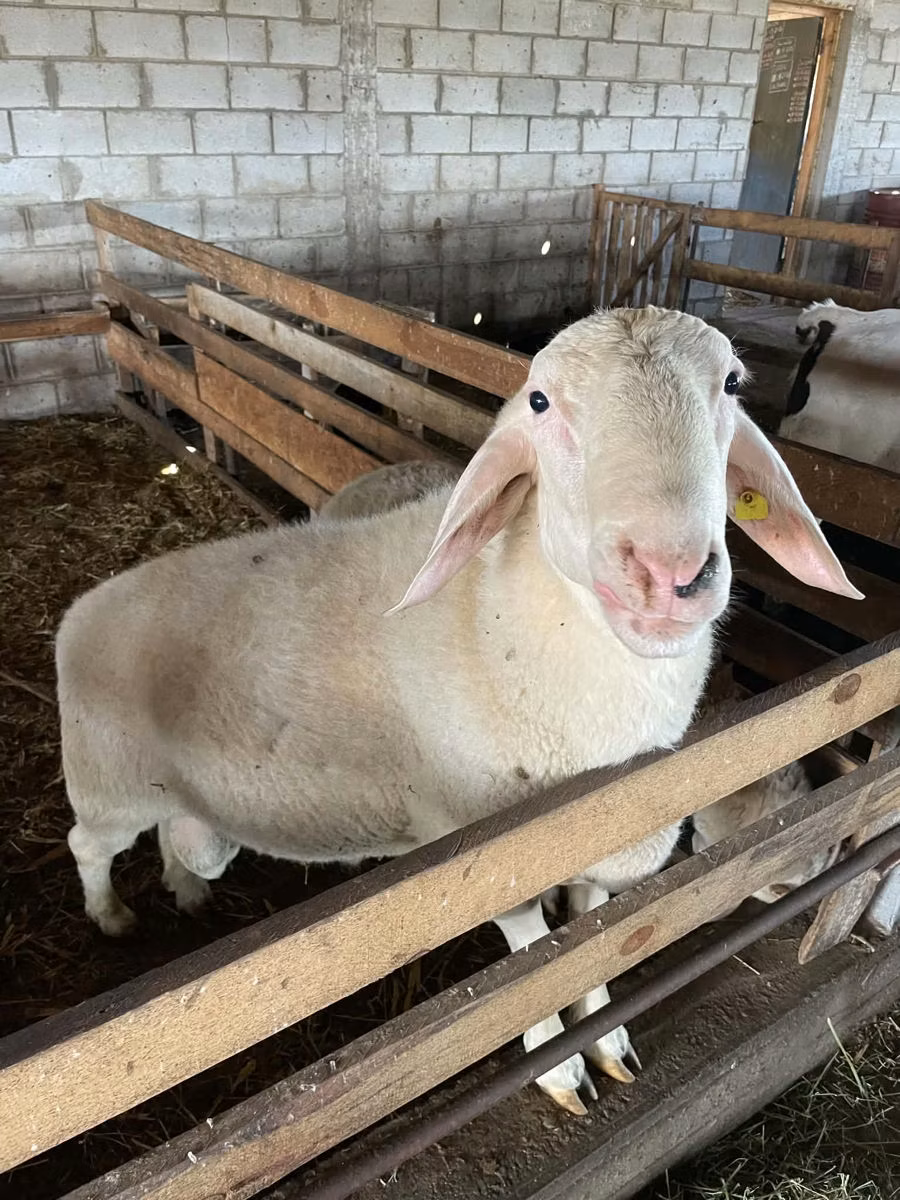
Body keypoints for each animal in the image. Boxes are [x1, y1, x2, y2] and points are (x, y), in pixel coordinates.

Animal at [57, 305, 861, 1115]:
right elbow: (531, 952)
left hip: (172, 790)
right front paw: (560, 1068)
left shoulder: (603, 841)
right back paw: (111, 916)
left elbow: (593, 933)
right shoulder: (480, 851)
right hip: (107, 783)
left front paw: (605, 1042)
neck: (498, 619)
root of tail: (75, 616)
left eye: (732, 384)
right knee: (86, 845)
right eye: (539, 402)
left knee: (176, 832)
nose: (672, 574)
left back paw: (189, 889)